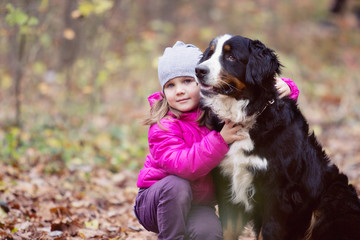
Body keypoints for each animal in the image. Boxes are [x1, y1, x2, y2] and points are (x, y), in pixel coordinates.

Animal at [195, 34, 360, 240]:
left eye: (231, 57)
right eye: (209, 53)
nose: (199, 70)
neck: (248, 117)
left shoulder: (276, 195)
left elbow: (268, 231)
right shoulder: (228, 186)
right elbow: (228, 231)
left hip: (333, 200)